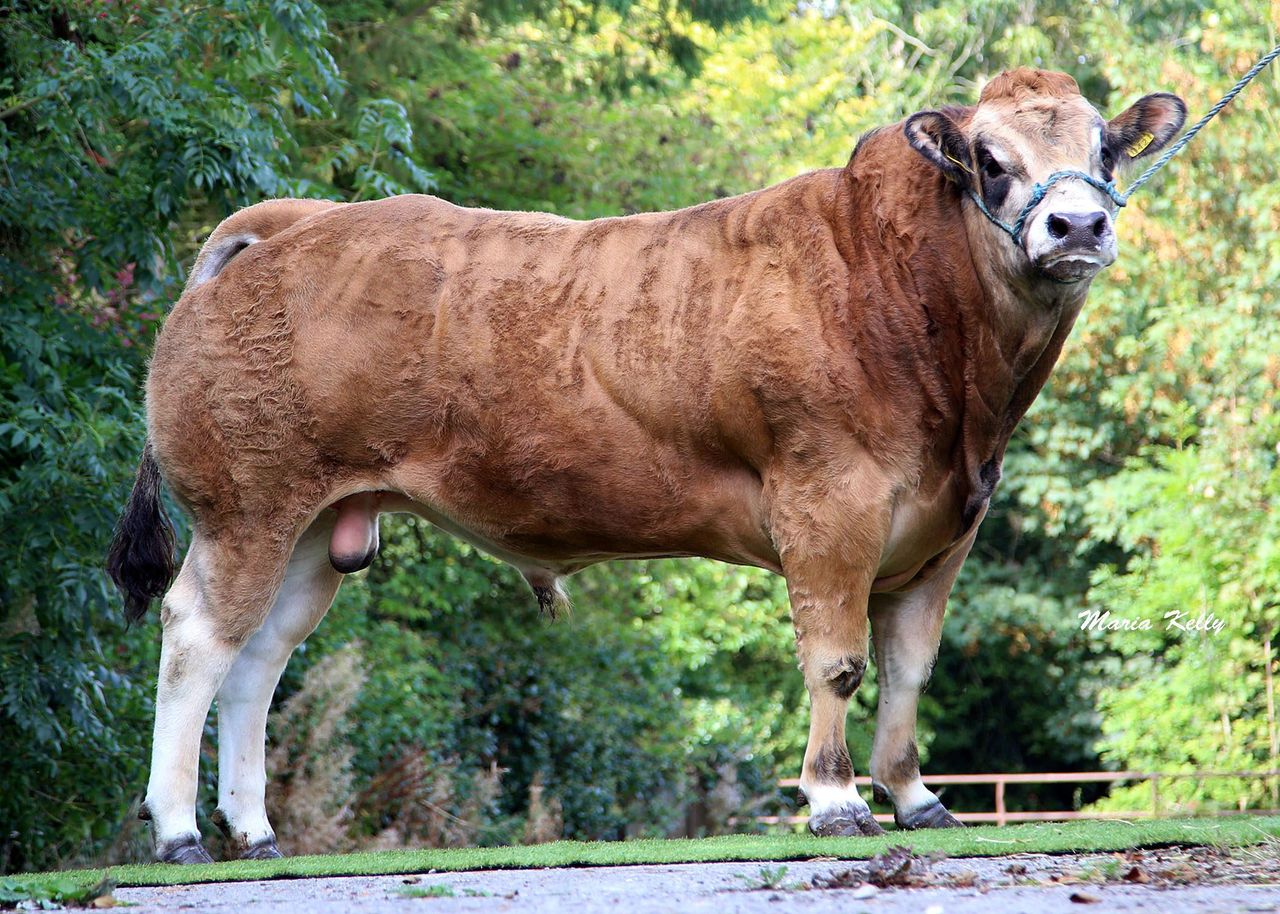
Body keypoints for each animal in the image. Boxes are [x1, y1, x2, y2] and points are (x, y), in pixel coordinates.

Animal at [107, 68, 1186, 862]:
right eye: (991, 161)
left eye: (1102, 147)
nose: (1076, 226)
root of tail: (291, 222)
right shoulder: (828, 505)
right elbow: (837, 661)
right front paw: (836, 801)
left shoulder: (943, 527)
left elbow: (909, 665)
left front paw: (916, 798)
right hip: (245, 506)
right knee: (197, 636)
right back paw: (178, 831)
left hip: (312, 528)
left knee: (257, 661)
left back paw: (255, 830)